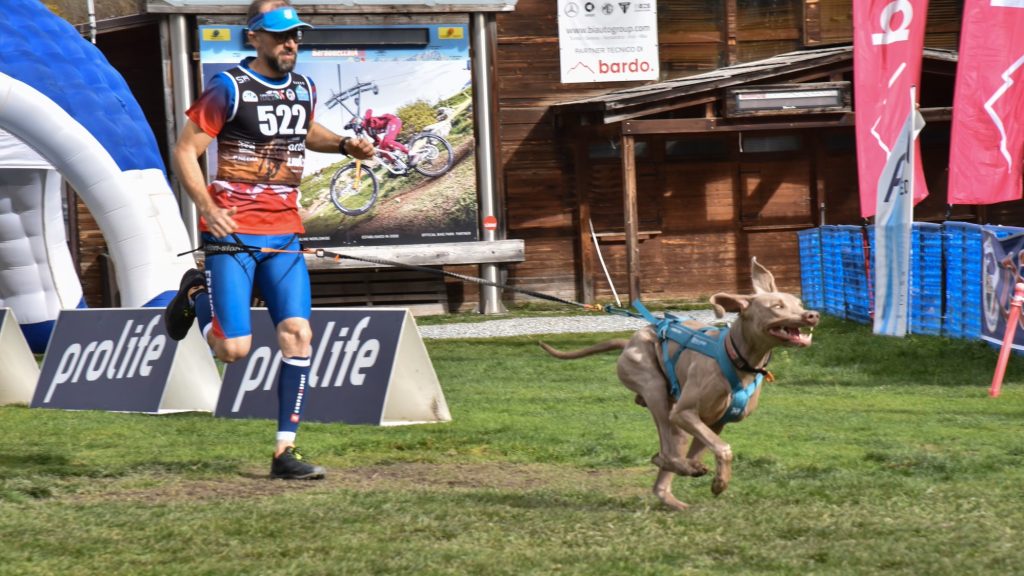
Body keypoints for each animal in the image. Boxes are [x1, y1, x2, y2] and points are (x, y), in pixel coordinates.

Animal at [540, 258, 819, 508]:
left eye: (799, 303)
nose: (812, 315)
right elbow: (724, 449)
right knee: (665, 448)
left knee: (668, 462)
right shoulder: (685, 412)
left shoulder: (716, 422)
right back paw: (671, 464)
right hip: (655, 388)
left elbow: (709, 448)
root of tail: (629, 342)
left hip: (674, 413)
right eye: (777, 306)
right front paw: (718, 482)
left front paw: (709, 474)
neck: (738, 358)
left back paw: (675, 491)